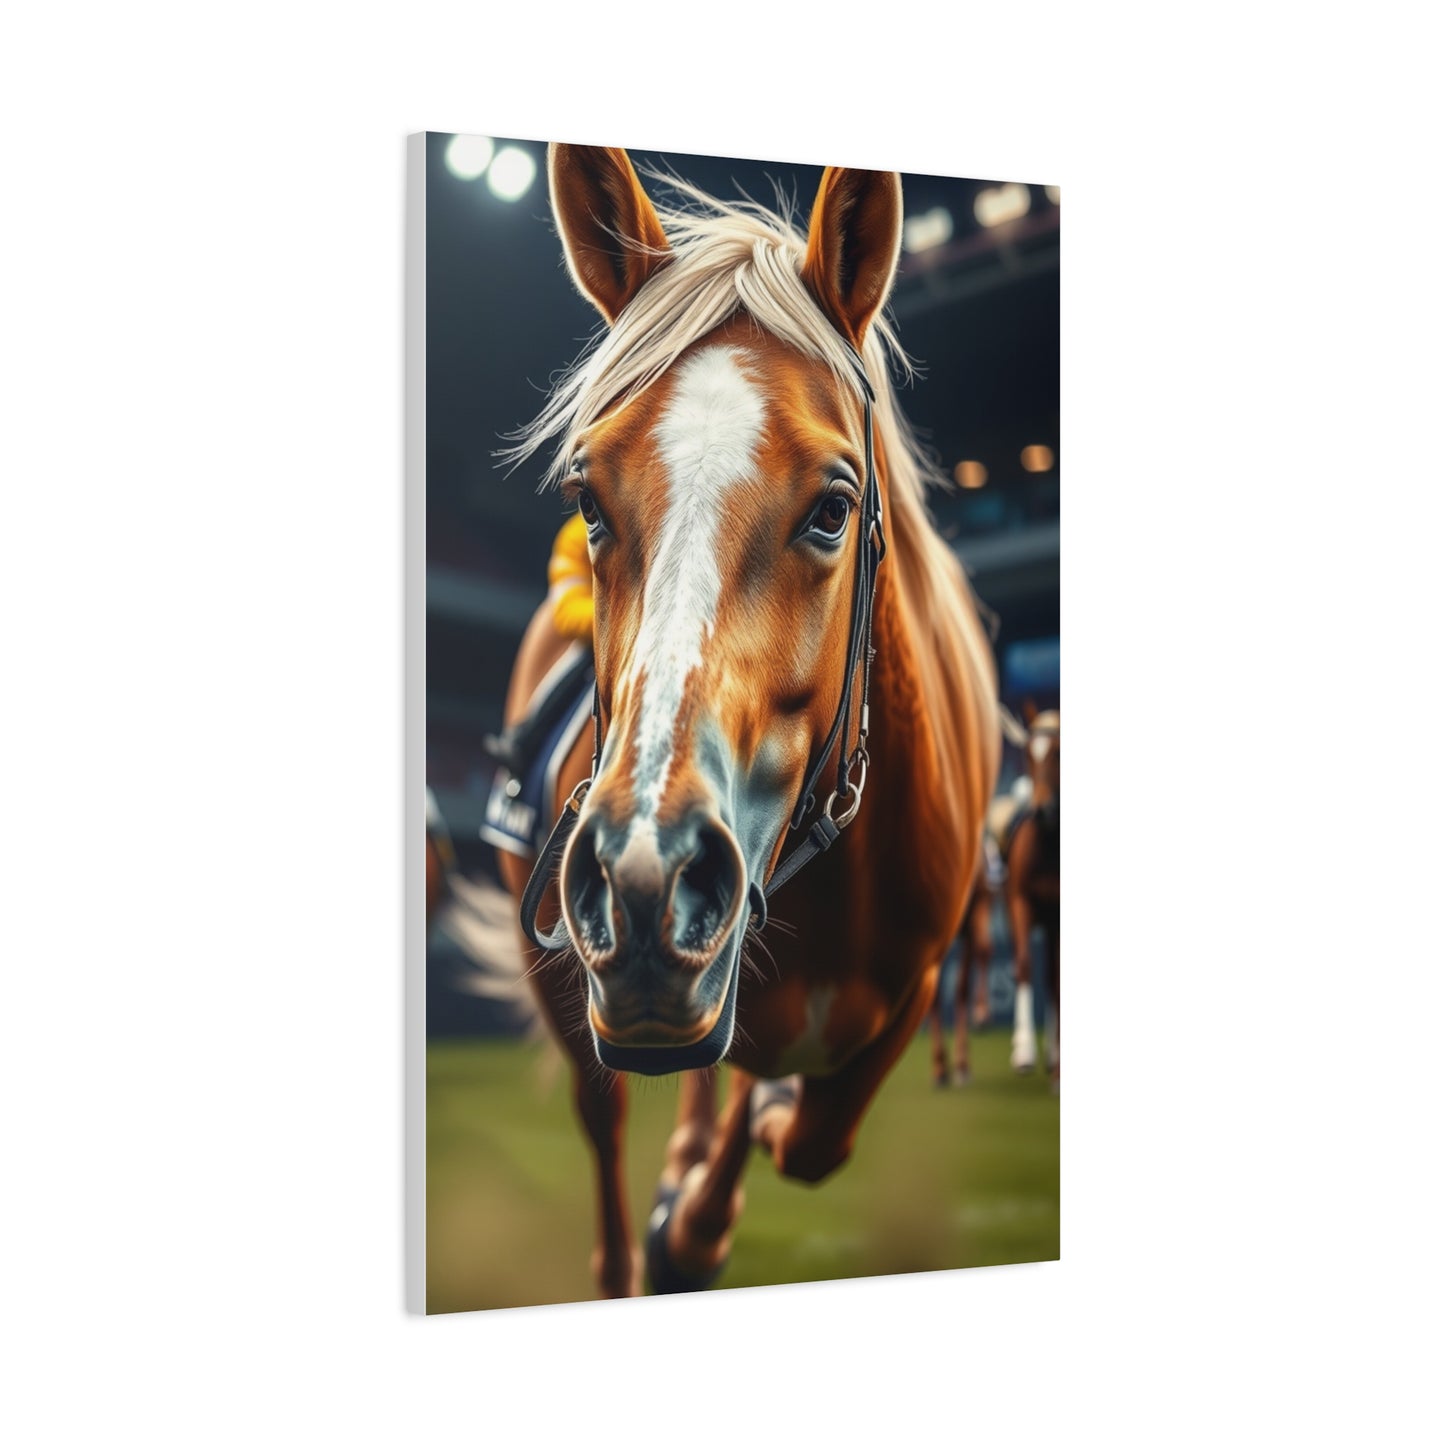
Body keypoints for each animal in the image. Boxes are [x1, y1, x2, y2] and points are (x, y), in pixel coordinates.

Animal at [492, 145, 1000, 1297]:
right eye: (589, 500)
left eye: (832, 508)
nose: (643, 875)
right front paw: (692, 1197)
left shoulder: (910, 989)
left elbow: (810, 1131)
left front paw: (752, 1128)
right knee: (610, 1123)